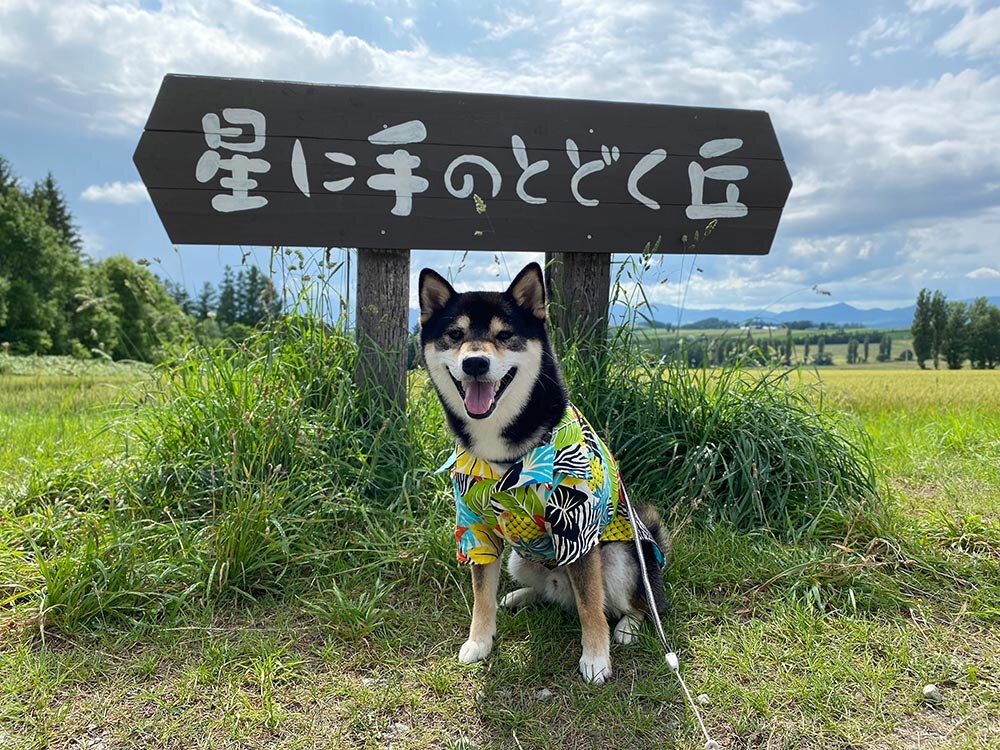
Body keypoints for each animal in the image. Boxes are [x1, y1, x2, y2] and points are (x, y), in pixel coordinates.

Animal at [418, 264, 668, 688]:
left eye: (505, 335)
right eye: (455, 335)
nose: (475, 364)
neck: (503, 451)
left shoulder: (577, 528)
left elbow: (590, 607)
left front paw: (595, 659)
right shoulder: (475, 530)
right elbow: (481, 595)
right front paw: (479, 642)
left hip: (620, 558)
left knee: (631, 603)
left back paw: (627, 627)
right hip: (520, 560)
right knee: (549, 595)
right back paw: (517, 597)